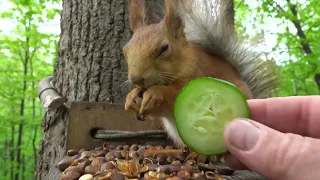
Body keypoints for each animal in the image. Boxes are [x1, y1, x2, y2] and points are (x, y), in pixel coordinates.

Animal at [122, 0, 278, 149]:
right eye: (125, 50)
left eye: (164, 48)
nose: (136, 79)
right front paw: (131, 98)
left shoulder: (197, 72)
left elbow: (174, 94)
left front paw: (156, 93)